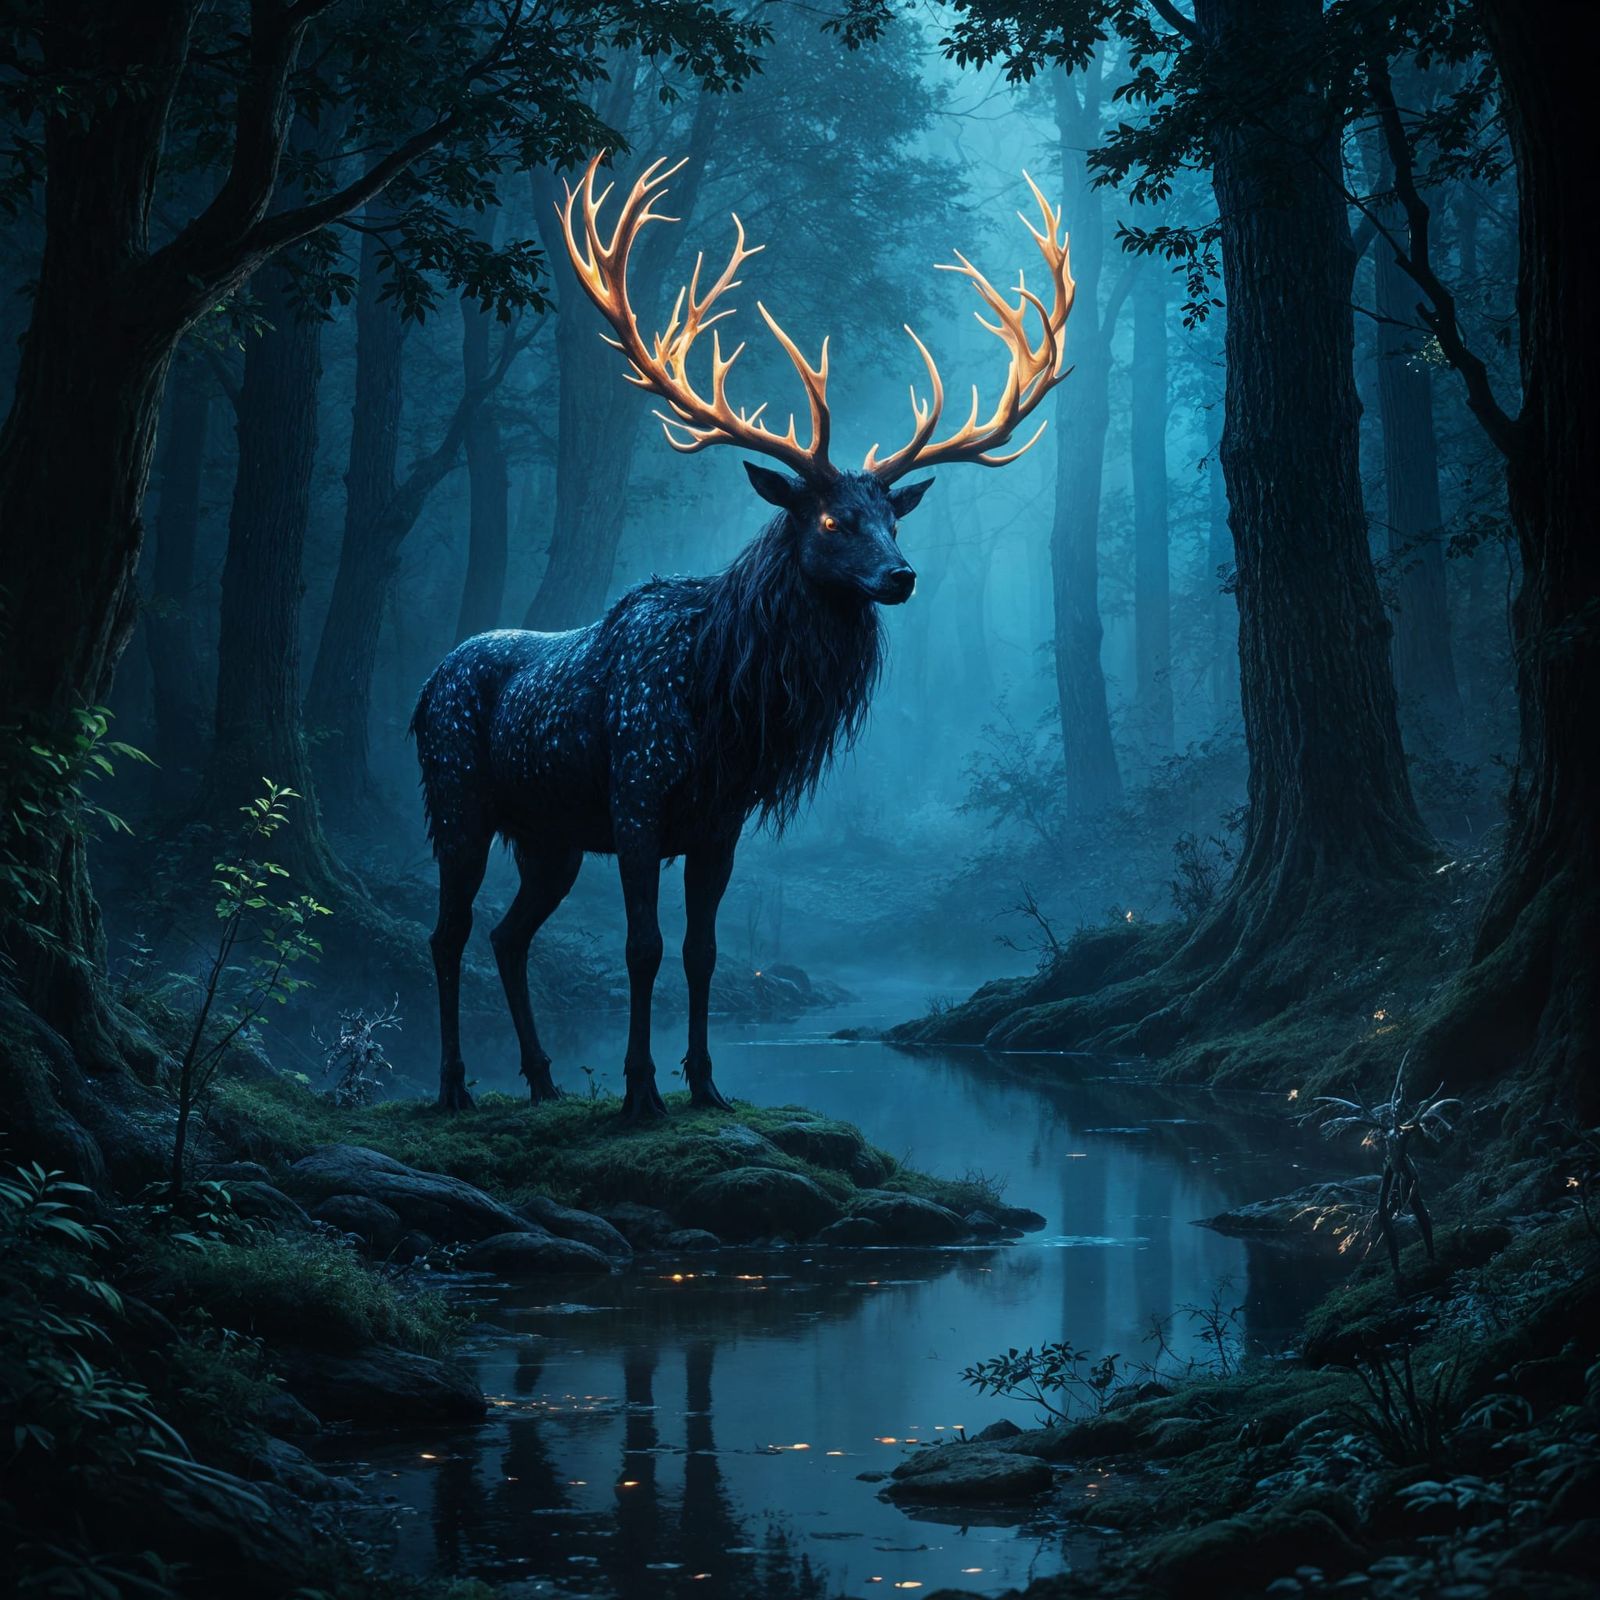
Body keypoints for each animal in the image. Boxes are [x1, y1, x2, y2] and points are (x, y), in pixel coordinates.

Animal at [411, 153, 1076, 1117]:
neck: (725, 696)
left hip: (550, 837)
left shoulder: (719, 822)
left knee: (507, 934)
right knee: (448, 930)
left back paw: (539, 1080)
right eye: (832, 520)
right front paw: (641, 1094)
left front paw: (707, 1086)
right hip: (457, 797)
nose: (902, 577)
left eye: (894, 520)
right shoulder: (639, 795)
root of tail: (425, 685)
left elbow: (704, 952)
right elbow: (642, 948)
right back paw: (457, 1086)